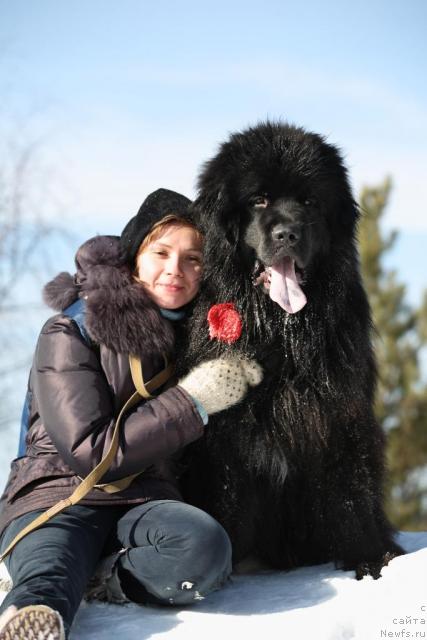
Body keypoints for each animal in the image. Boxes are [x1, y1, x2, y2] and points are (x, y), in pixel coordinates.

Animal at [178, 121, 404, 580]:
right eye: (258, 199)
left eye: (310, 202)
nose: (287, 233)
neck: (282, 334)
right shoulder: (223, 438)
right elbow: (225, 495)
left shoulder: (340, 413)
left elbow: (350, 489)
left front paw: (369, 555)